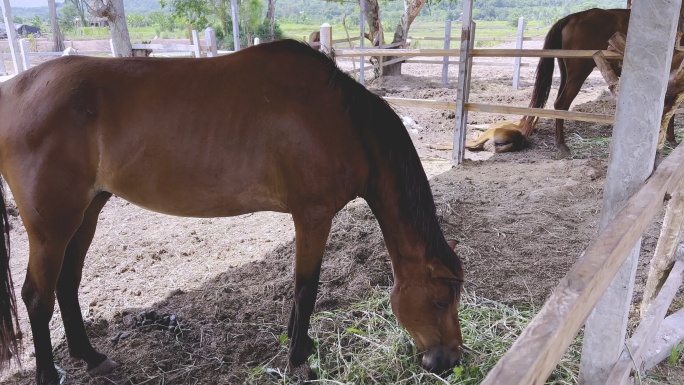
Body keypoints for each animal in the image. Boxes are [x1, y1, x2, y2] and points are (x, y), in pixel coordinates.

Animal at [0, 39, 464, 384]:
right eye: (441, 300)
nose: (450, 361)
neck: (344, 121)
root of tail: (14, 90)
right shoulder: (313, 217)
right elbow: (306, 287)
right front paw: (299, 357)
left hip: (86, 213)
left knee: (67, 285)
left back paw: (91, 356)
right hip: (51, 226)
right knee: (38, 297)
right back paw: (50, 373)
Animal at [520, 7, 680, 154]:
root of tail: (571, 18)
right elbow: (672, 110)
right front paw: (672, 140)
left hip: (566, 73)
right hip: (578, 74)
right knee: (561, 103)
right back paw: (562, 145)